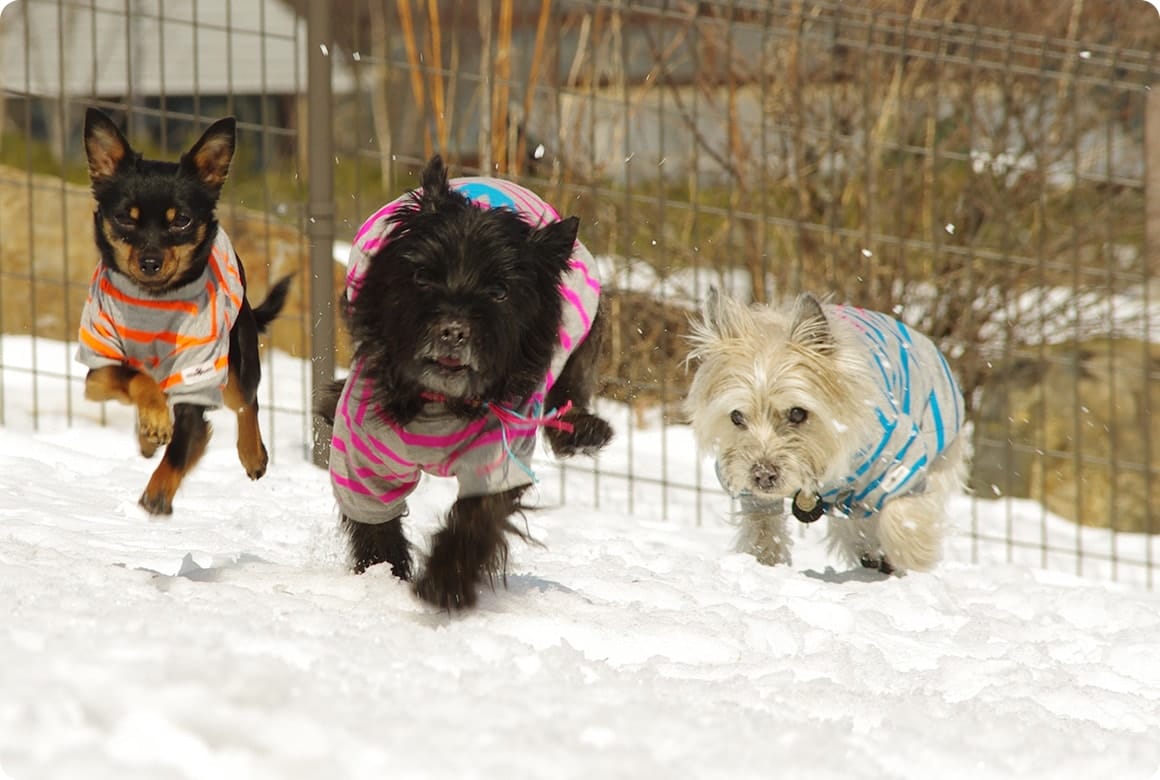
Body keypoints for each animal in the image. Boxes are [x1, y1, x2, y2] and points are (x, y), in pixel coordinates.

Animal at [77, 106, 292, 515]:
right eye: (125, 218)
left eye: (181, 221)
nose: (150, 261)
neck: (152, 301)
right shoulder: (97, 373)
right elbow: (134, 377)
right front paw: (154, 423)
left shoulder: (199, 377)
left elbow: (182, 445)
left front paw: (159, 492)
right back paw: (149, 432)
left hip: (237, 358)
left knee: (246, 401)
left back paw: (252, 454)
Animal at [313, 155, 612, 612]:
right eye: (422, 275)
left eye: (500, 291)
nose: (452, 331)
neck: (438, 402)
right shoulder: (361, 460)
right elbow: (375, 522)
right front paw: (384, 577)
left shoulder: (498, 459)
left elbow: (477, 518)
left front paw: (445, 584)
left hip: (581, 338)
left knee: (567, 395)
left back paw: (583, 431)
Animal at [682, 287, 965, 573]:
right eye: (737, 417)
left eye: (797, 413)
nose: (762, 475)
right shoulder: (749, 489)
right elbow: (763, 526)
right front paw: (765, 563)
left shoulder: (899, 456)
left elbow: (901, 516)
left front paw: (912, 558)